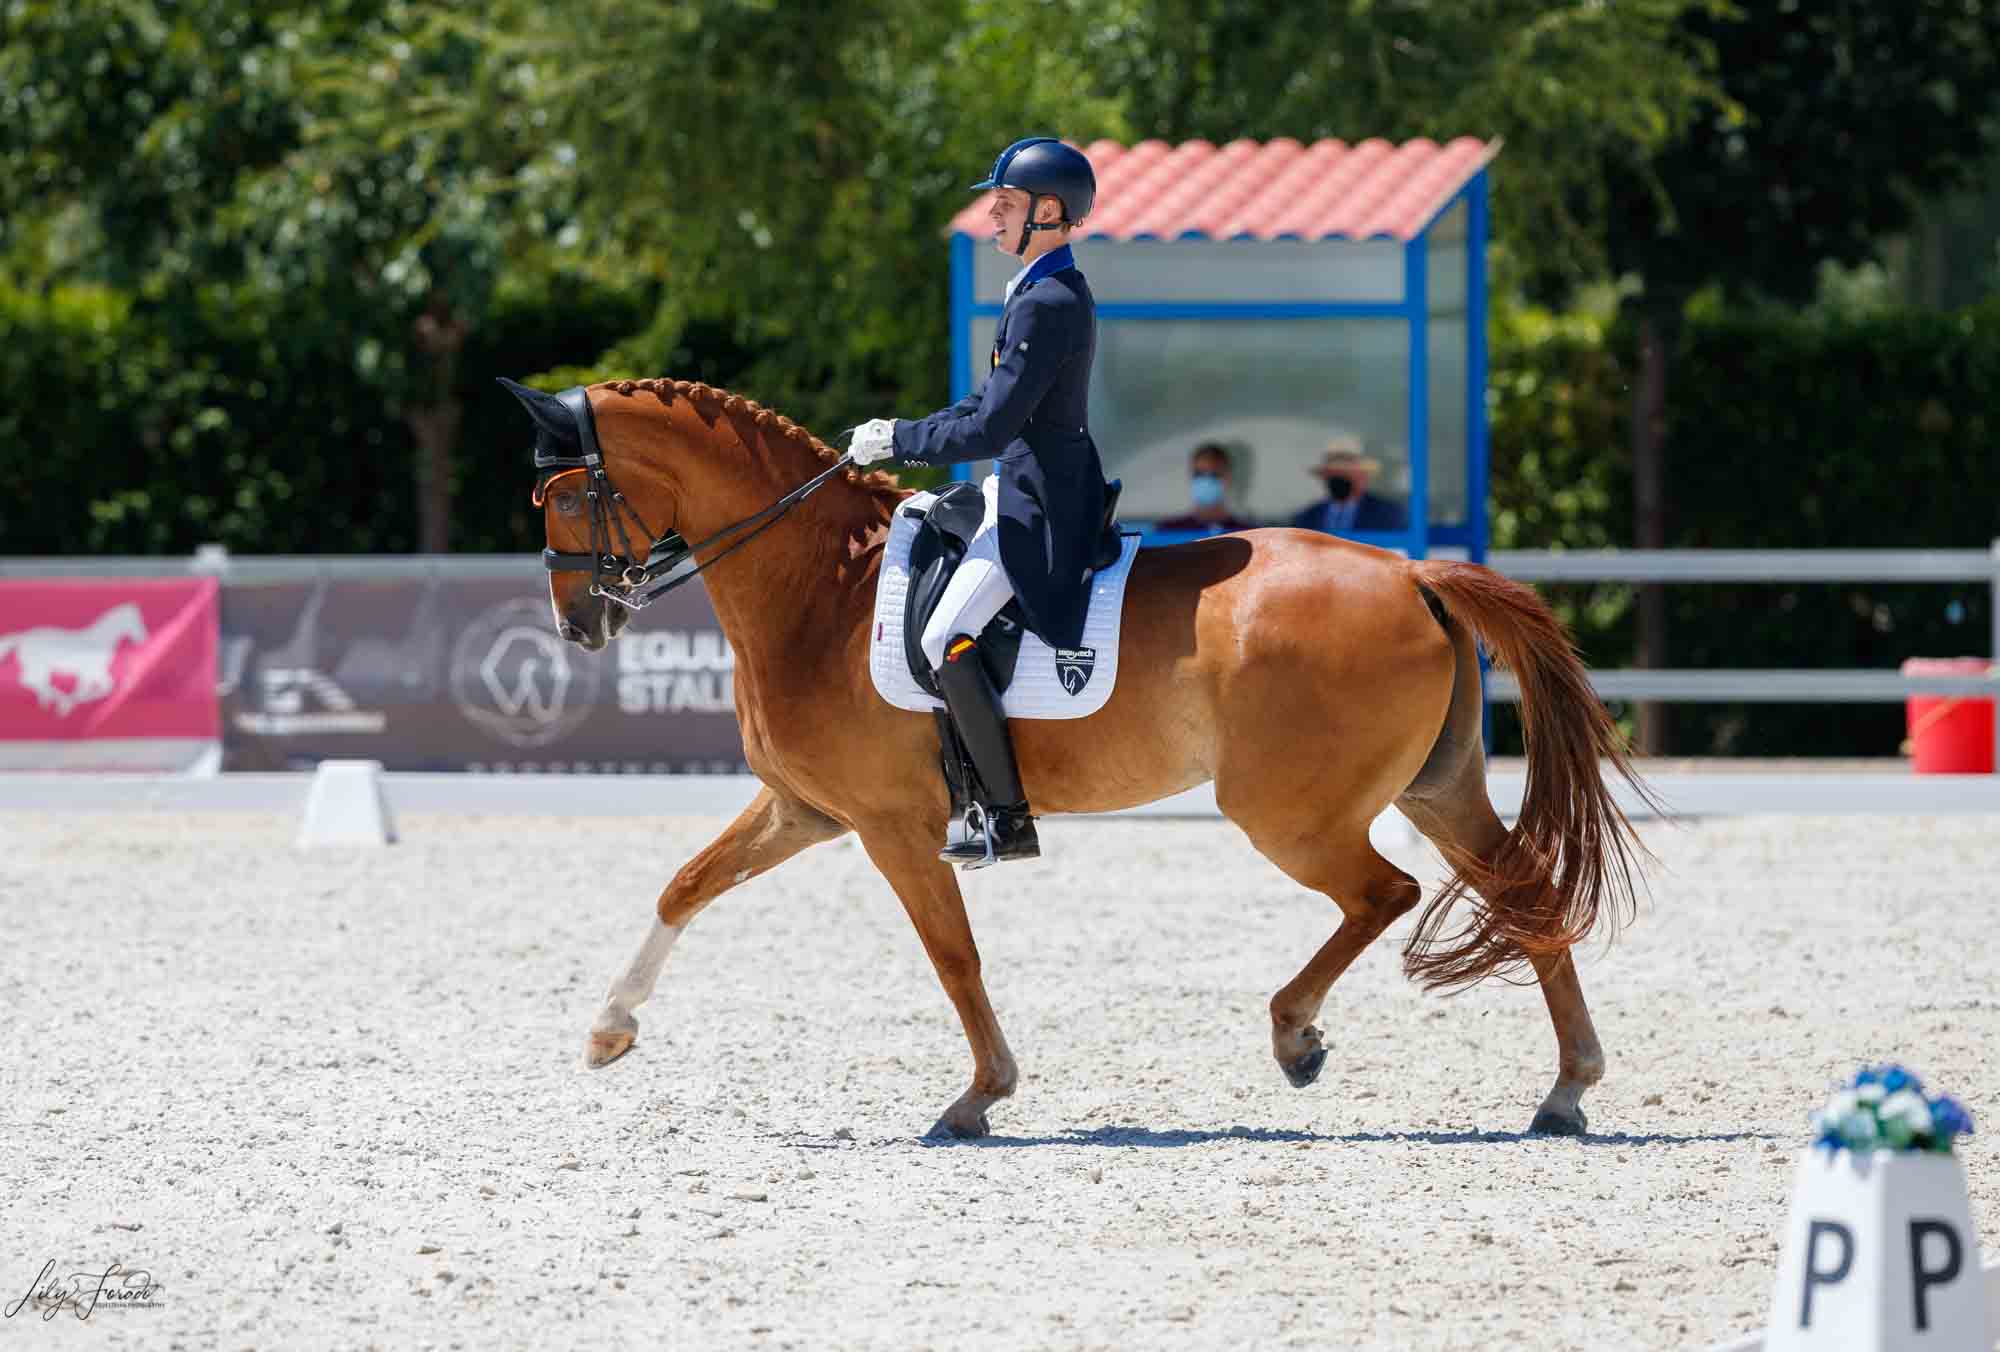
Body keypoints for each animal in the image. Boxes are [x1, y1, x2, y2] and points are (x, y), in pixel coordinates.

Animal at [504, 374, 1656, 1136]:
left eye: (563, 498)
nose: (576, 626)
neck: (818, 589)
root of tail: (1411, 571)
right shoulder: (805, 807)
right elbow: (684, 883)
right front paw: (608, 1030)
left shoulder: (890, 826)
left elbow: (953, 956)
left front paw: (978, 1096)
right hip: (1433, 787)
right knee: (1525, 889)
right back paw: (1564, 1090)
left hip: (1290, 812)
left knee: (1384, 893)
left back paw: (1296, 1037)